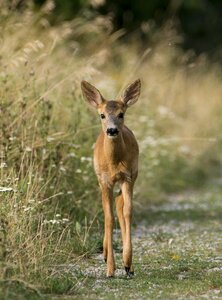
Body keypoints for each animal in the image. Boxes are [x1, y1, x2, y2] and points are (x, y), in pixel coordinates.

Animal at [81, 78, 140, 276]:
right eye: (102, 115)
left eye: (121, 114)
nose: (112, 130)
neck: (114, 162)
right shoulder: (105, 180)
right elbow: (108, 217)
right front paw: (110, 270)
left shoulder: (127, 177)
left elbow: (127, 211)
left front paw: (127, 263)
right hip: (100, 179)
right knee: (110, 208)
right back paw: (106, 255)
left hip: (133, 176)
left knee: (120, 203)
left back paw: (128, 266)